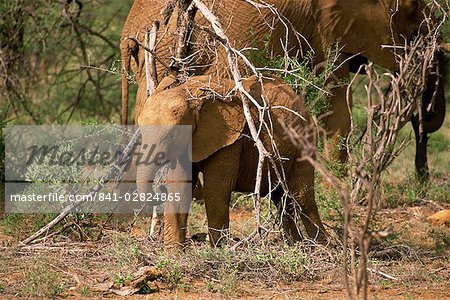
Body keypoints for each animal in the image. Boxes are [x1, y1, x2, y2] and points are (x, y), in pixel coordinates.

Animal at [137, 75, 326, 251]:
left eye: (172, 135)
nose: (159, 189)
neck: (187, 92)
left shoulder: (230, 139)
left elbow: (216, 189)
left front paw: (217, 252)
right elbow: (180, 186)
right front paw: (175, 254)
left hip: (304, 142)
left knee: (302, 197)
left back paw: (321, 249)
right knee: (282, 200)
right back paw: (298, 246)